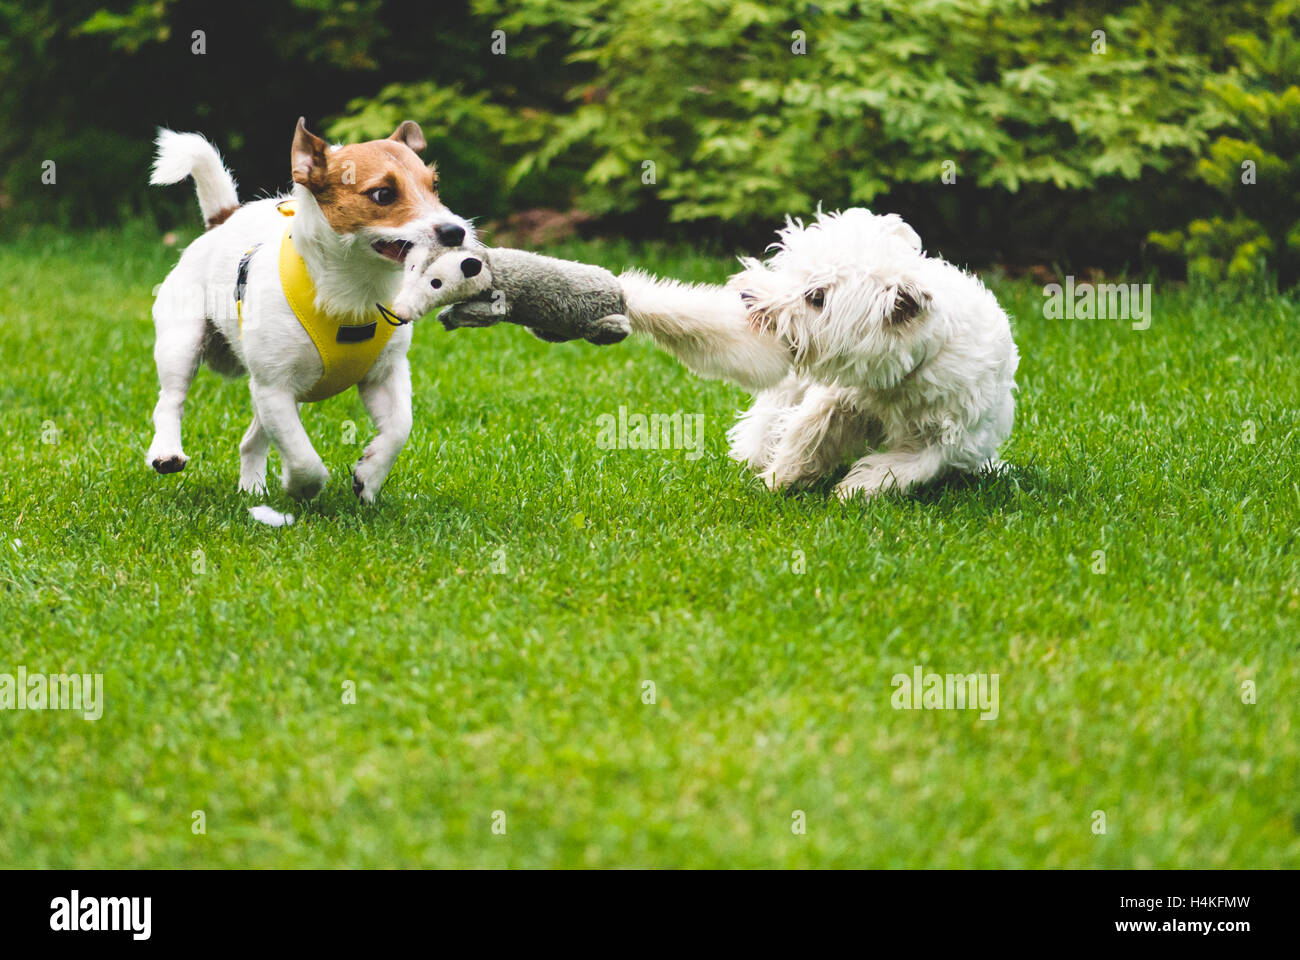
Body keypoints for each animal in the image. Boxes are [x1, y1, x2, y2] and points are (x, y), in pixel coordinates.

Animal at [148, 115, 473, 496]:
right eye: (383, 194)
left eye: (434, 185)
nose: (455, 231)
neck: (354, 291)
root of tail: (223, 219)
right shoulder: (274, 388)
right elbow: (303, 456)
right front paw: (301, 485)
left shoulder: (385, 375)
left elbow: (399, 428)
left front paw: (370, 474)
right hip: (181, 343)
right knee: (170, 400)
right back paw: (167, 452)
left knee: (250, 440)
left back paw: (252, 488)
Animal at [624, 206, 1019, 496]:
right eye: (788, 269)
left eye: (817, 297)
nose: (748, 297)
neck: (901, 377)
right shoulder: (838, 397)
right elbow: (808, 432)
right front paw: (780, 477)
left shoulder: (947, 442)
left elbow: (906, 467)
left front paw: (857, 489)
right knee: (770, 415)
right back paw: (754, 452)